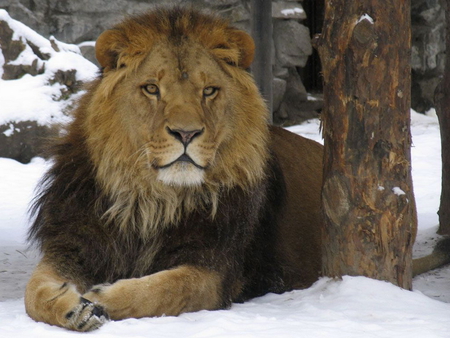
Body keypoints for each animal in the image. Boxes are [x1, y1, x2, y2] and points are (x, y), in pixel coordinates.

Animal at [23, 5, 450, 332]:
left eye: (209, 91)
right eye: (151, 89)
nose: (186, 133)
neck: (152, 200)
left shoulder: (216, 269)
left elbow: (166, 289)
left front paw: (102, 296)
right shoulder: (73, 245)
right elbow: (33, 292)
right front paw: (73, 306)